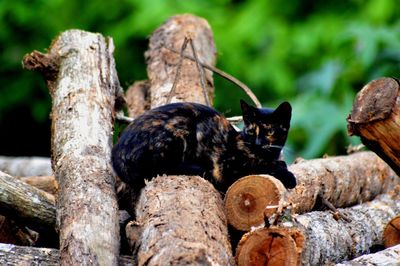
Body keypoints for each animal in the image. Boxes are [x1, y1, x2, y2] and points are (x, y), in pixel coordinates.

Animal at [111, 100, 296, 195]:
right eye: (251, 131)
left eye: (270, 131)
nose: (257, 143)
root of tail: (115, 156)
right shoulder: (227, 168)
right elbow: (260, 169)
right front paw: (287, 176)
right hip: (180, 127)